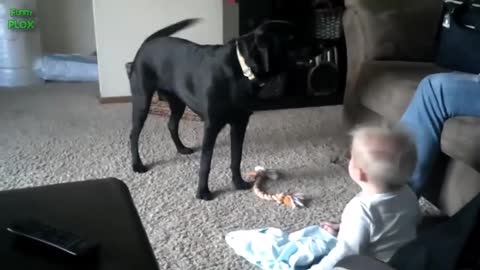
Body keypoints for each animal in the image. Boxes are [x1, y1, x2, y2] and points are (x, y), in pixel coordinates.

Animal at [127, 17, 296, 199]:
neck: (241, 70)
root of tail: (147, 43)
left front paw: (238, 183)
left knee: (171, 125)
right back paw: (137, 164)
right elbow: (205, 162)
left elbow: (236, 158)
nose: (314, 49)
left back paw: (181, 148)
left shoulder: (240, 124)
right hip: (142, 101)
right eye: (291, 40)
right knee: (134, 135)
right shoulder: (211, 126)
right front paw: (203, 191)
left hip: (178, 102)